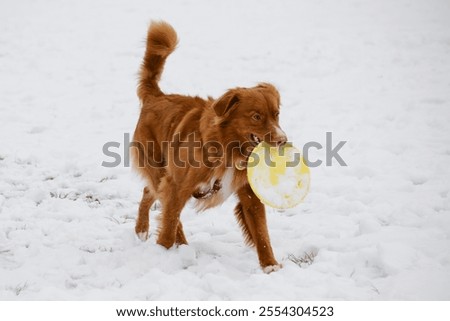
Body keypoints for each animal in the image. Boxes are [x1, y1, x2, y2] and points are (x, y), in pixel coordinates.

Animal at [132, 20, 286, 272]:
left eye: (276, 114)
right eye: (256, 116)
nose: (283, 140)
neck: (228, 147)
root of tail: (157, 96)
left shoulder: (249, 194)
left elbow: (262, 232)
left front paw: (270, 266)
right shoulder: (177, 185)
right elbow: (169, 223)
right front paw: (163, 255)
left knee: (149, 192)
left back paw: (148, 232)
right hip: (159, 169)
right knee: (163, 206)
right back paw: (173, 243)